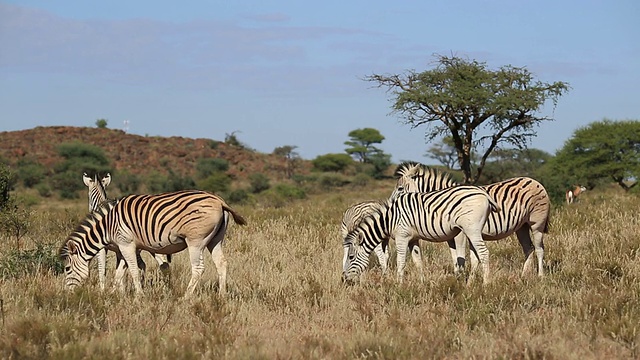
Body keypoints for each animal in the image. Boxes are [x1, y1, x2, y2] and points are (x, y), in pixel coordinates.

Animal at [60, 190, 246, 296]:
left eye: (67, 269)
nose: (68, 295)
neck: (107, 226)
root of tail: (219, 200)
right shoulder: (123, 247)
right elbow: (119, 274)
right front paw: (112, 295)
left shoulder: (127, 244)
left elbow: (133, 271)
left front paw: (139, 297)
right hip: (215, 239)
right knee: (221, 263)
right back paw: (221, 296)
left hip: (196, 241)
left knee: (198, 268)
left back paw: (186, 297)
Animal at [344, 186, 500, 284]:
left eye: (351, 257)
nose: (344, 279)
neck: (390, 219)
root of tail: (483, 193)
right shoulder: (413, 238)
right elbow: (418, 262)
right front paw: (422, 283)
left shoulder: (402, 237)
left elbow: (401, 262)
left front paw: (398, 285)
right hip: (474, 230)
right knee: (476, 255)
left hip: (472, 229)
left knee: (484, 253)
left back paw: (486, 284)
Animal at [390, 162, 552, 278]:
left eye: (400, 188)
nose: (391, 205)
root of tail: (533, 180)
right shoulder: (451, 238)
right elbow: (456, 258)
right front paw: (459, 277)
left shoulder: (460, 234)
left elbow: (461, 257)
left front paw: (462, 279)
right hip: (521, 227)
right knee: (528, 248)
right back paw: (524, 276)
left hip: (537, 224)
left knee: (539, 248)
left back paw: (540, 276)